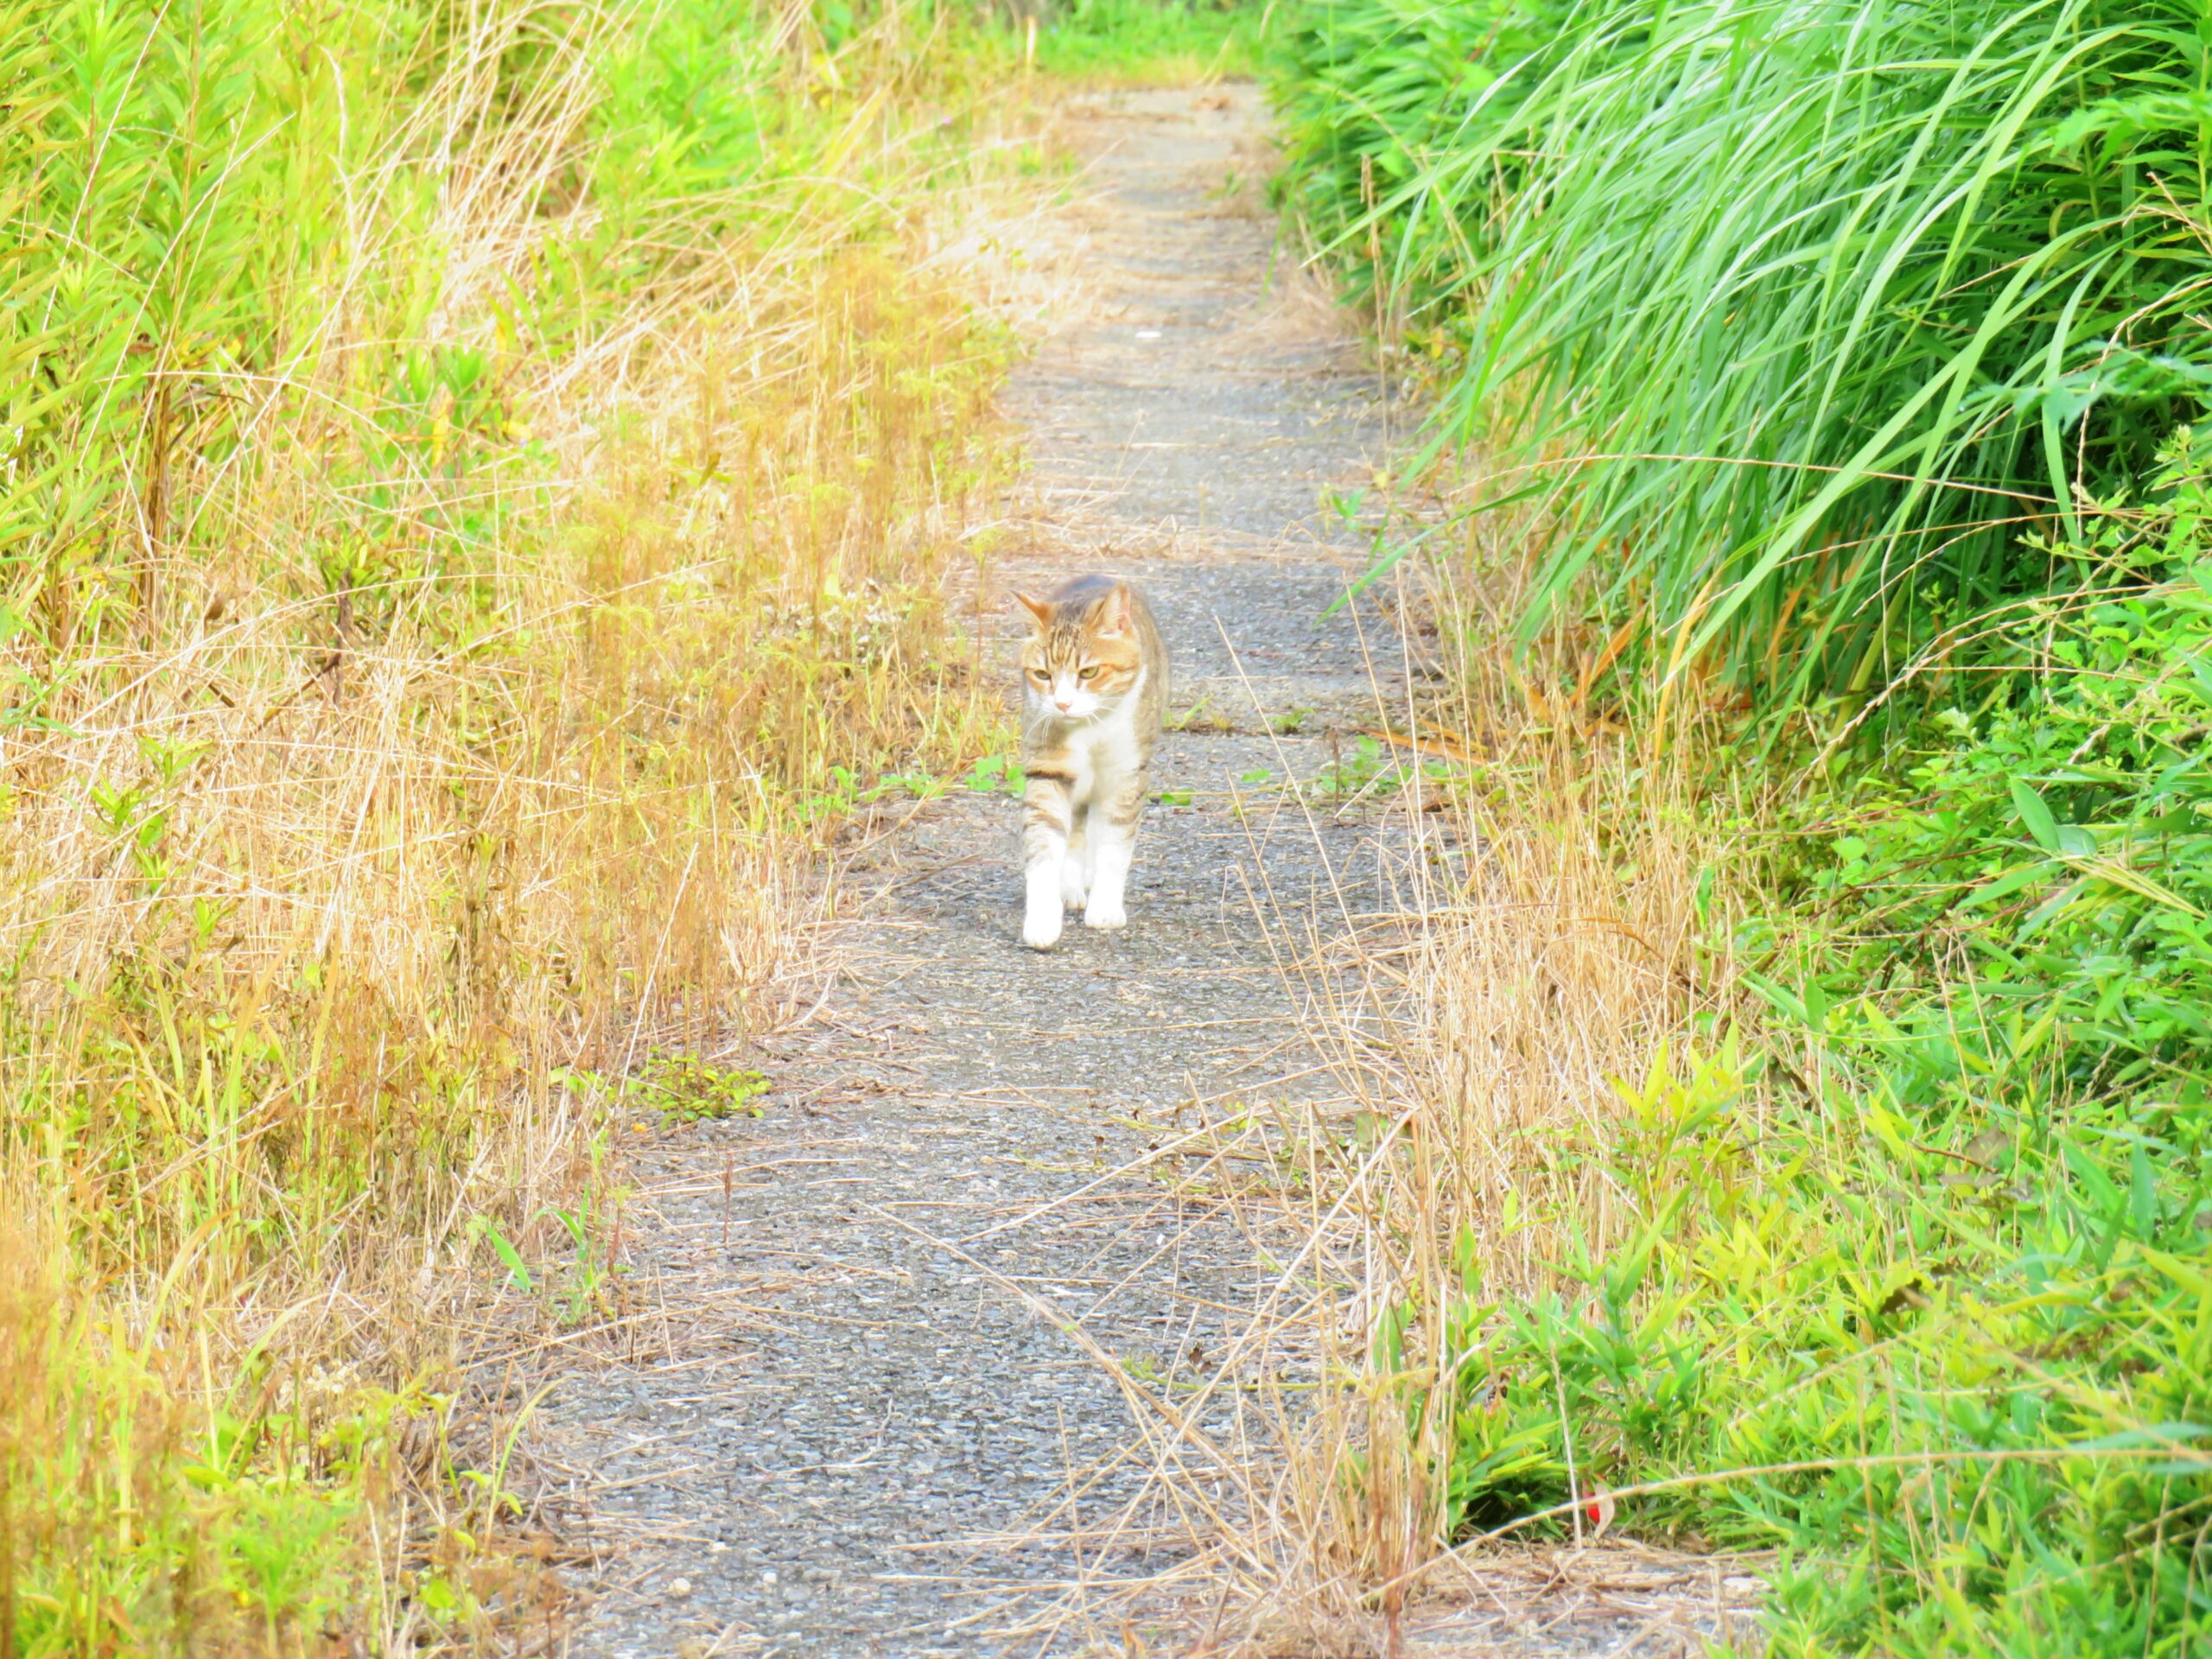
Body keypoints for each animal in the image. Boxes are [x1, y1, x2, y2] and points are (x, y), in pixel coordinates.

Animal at [1013, 579, 1167, 946]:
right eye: (1042, 674)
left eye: (1089, 671)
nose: (1062, 704)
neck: (1089, 729)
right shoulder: (1048, 769)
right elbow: (1044, 846)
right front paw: (1042, 918)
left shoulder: (1124, 778)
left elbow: (1114, 848)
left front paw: (1106, 907)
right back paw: (1070, 888)